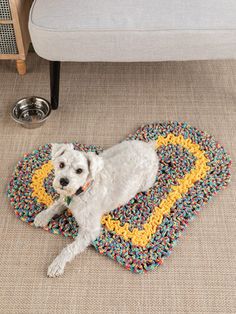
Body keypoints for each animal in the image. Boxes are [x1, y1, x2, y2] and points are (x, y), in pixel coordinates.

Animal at [34, 140, 159, 278]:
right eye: (61, 164)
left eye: (79, 170)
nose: (63, 181)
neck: (83, 190)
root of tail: (148, 146)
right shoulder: (65, 198)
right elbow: (55, 205)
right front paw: (42, 216)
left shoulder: (90, 230)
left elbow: (70, 248)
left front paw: (57, 264)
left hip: (146, 182)